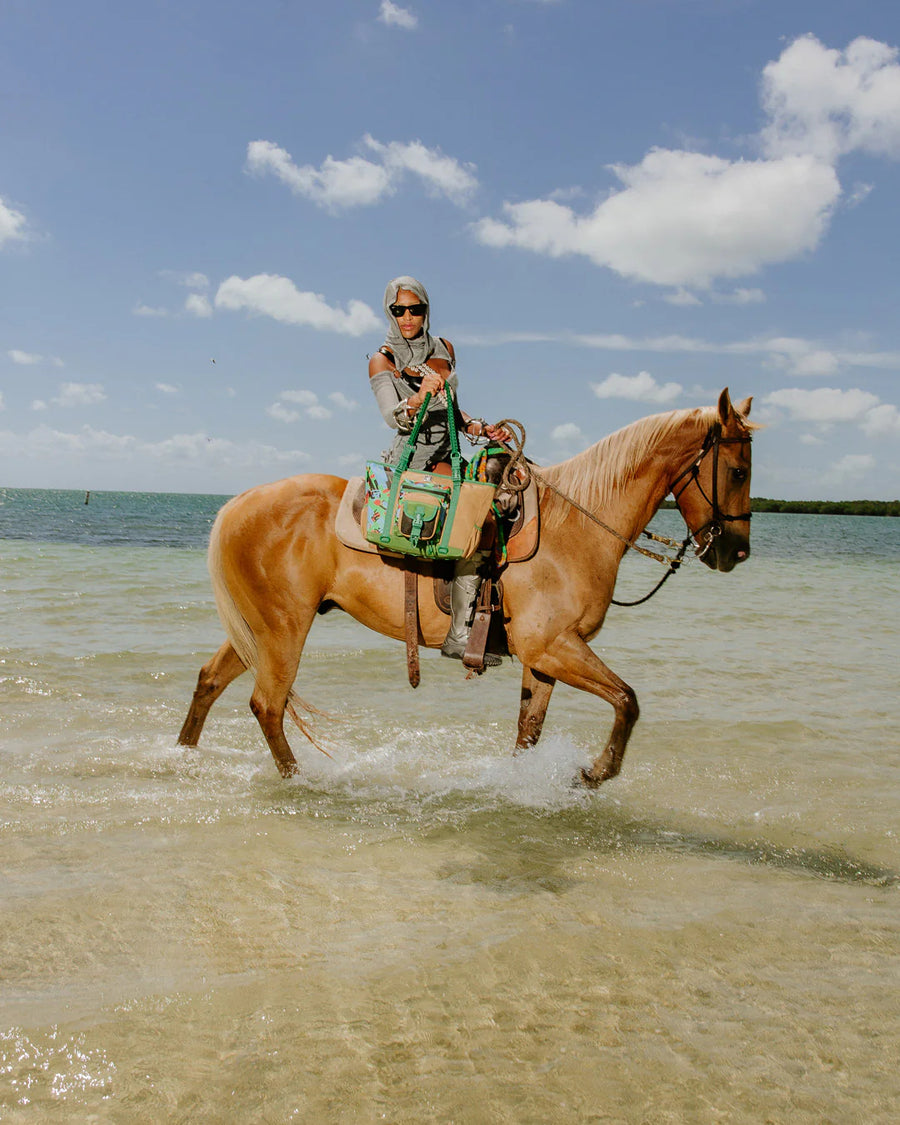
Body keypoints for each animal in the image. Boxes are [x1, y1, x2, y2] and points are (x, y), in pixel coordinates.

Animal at [175, 391, 751, 787]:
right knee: (267, 704)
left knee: (210, 680)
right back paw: (300, 781)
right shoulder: (554, 646)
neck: (576, 526)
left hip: (260, 628)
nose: (736, 553)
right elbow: (627, 701)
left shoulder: (546, 658)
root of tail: (239, 502)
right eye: (739, 470)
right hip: (283, 628)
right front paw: (594, 773)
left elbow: (529, 731)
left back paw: (183, 755)